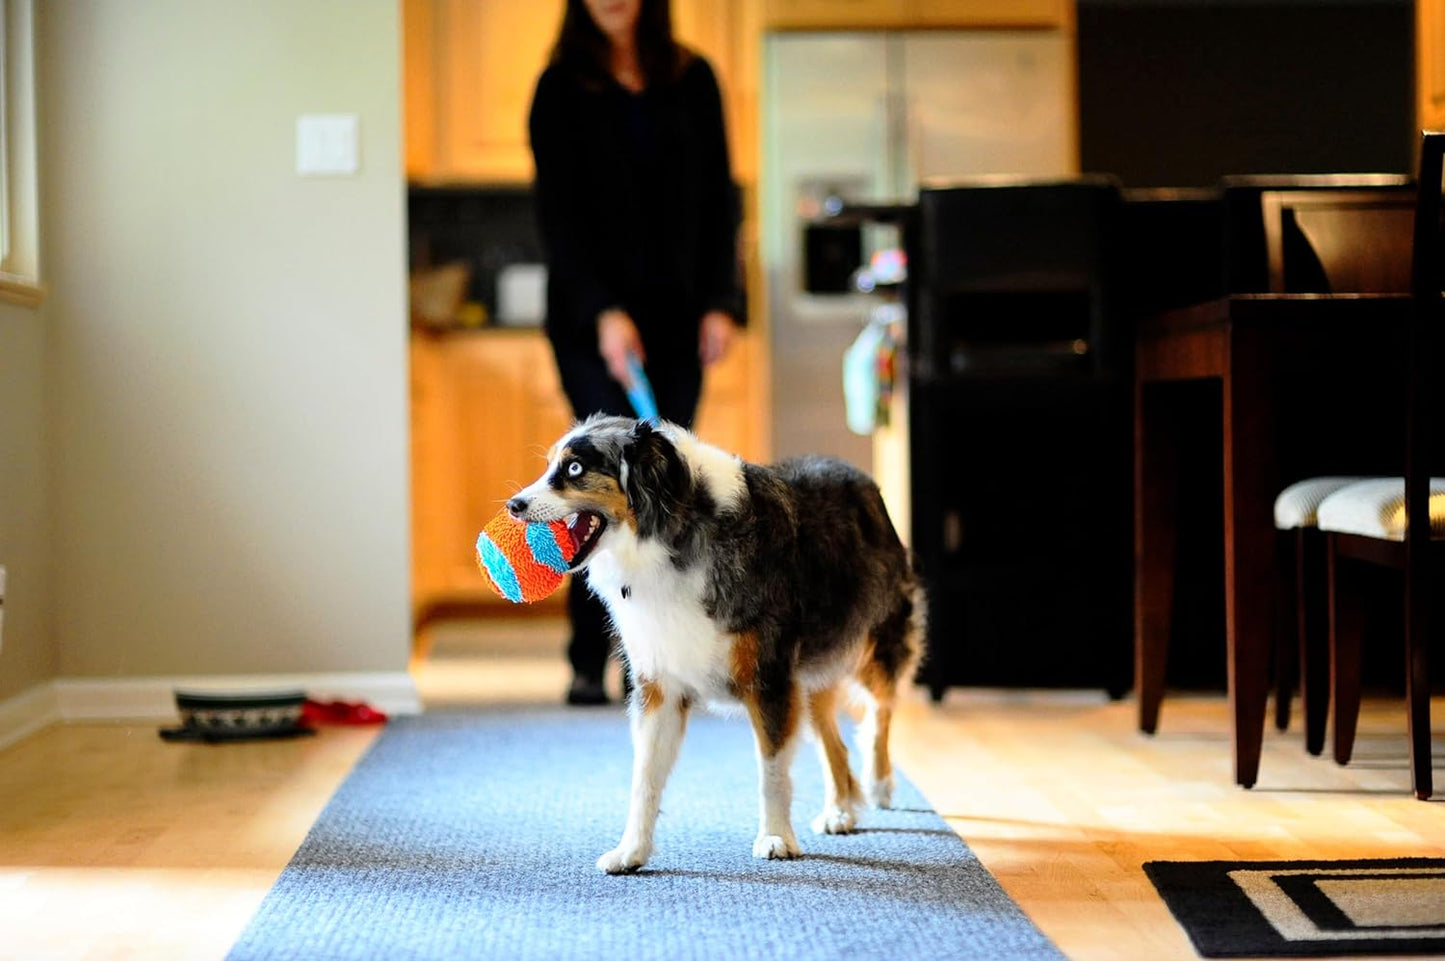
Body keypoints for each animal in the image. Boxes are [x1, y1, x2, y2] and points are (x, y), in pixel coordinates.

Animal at [508, 416, 924, 872]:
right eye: (550, 464)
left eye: (574, 469)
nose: (514, 505)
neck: (670, 540)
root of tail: (858, 476)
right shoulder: (660, 685)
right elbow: (644, 778)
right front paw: (631, 850)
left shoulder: (770, 679)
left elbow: (771, 771)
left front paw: (775, 837)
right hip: (811, 676)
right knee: (837, 742)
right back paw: (839, 810)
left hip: (874, 645)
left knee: (880, 711)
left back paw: (879, 783)